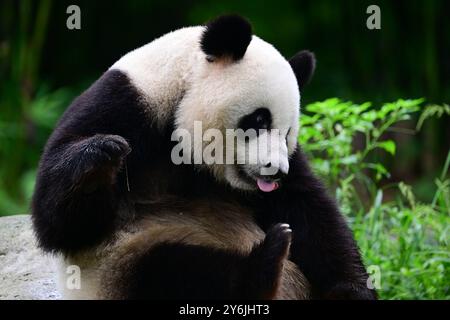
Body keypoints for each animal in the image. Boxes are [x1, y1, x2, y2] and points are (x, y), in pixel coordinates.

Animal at [31, 15, 376, 300]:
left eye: (288, 131)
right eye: (259, 119)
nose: (276, 171)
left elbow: (308, 209)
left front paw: (353, 291)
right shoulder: (123, 104)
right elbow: (61, 224)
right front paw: (101, 157)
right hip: (120, 264)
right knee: (172, 273)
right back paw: (263, 266)